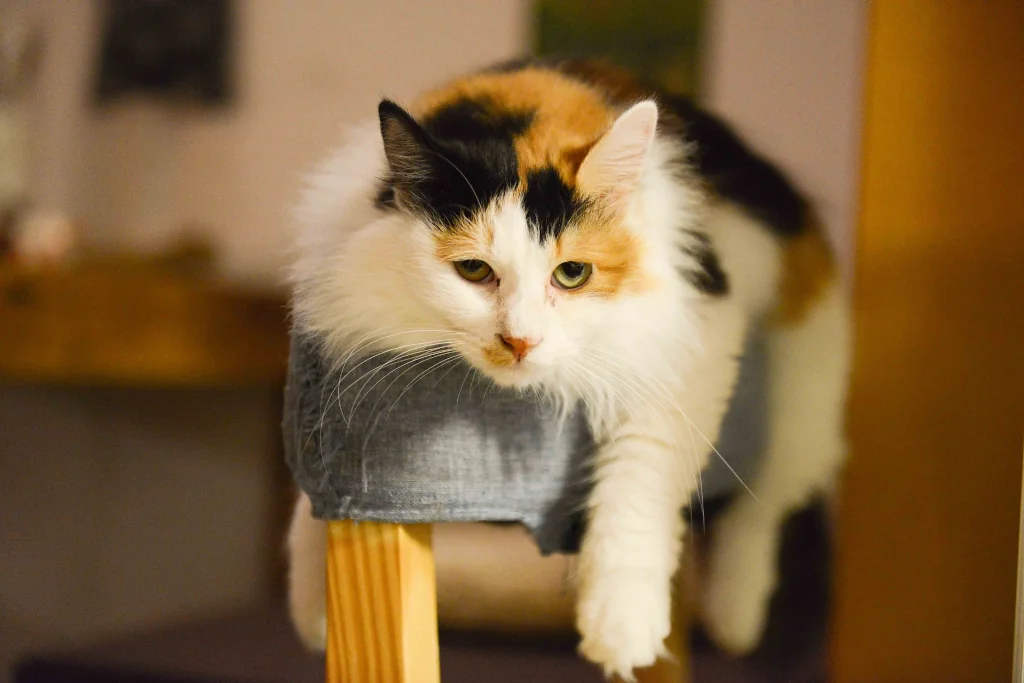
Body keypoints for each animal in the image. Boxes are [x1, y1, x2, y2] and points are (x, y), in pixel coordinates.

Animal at [286, 58, 847, 679]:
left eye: (572, 273)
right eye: (474, 270)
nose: (520, 340)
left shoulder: (696, 328)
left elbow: (642, 471)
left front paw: (621, 623)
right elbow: (318, 496)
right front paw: (316, 608)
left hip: (803, 383)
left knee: (765, 503)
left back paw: (735, 616)